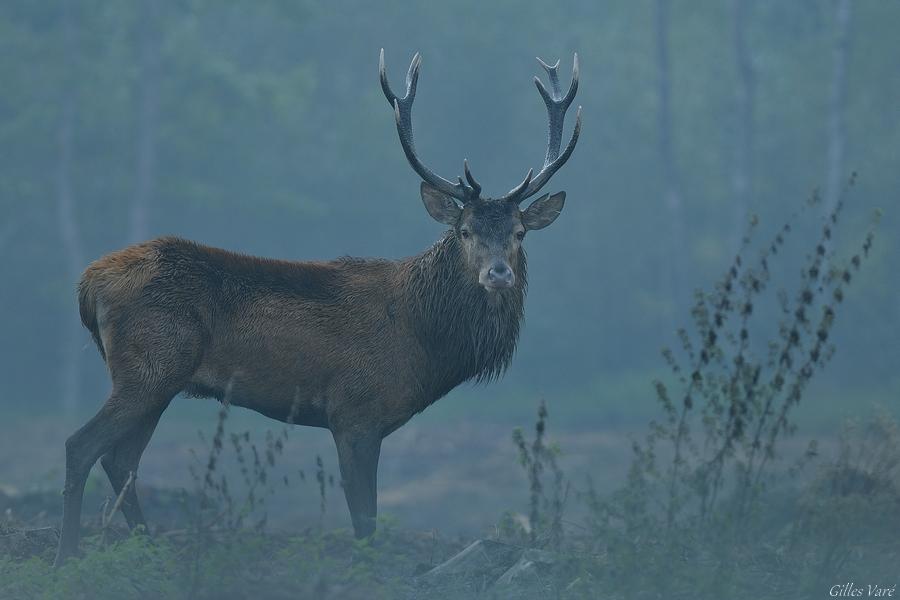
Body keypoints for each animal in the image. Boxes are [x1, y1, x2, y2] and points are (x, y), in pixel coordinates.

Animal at [54, 50, 581, 565]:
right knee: (81, 446)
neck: (422, 341)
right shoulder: (354, 412)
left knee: (122, 460)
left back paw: (149, 553)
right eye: (465, 231)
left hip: (159, 379)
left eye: (519, 233)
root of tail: (87, 282)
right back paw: (67, 556)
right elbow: (365, 521)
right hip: (150, 366)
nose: (498, 273)